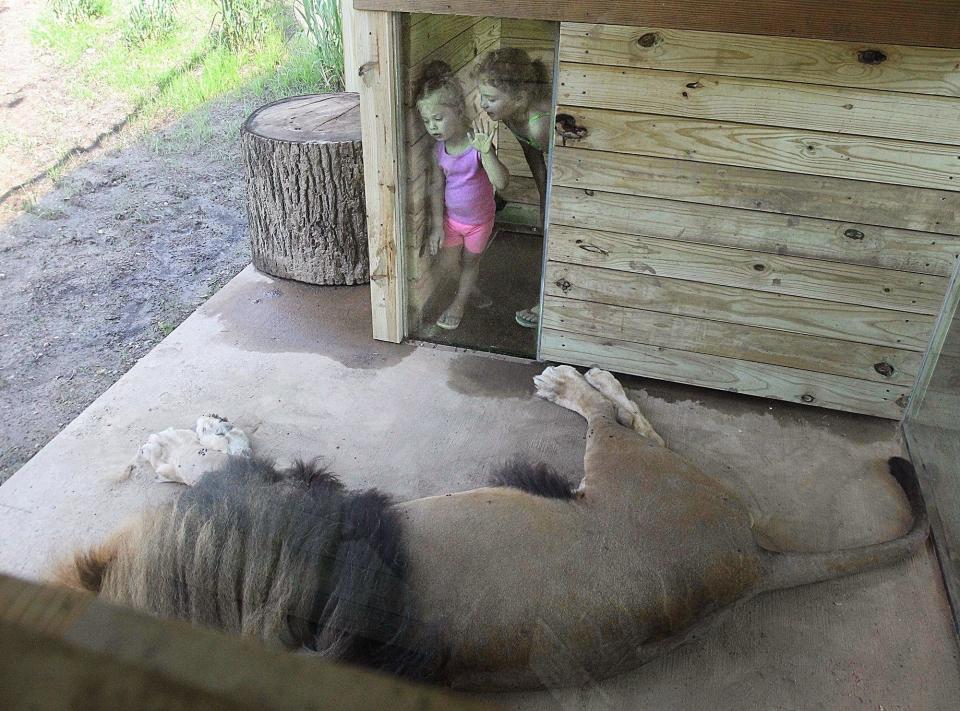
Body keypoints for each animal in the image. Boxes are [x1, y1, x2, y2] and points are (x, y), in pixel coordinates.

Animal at [48, 368, 928, 688]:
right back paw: (581, 375)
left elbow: (219, 458)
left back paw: (579, 373)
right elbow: (219, 462)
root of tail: (753, 557)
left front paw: (177, 440)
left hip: (625, 473)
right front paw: (175, 443)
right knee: (620, 420)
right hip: (627, 478)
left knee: (624, 417)